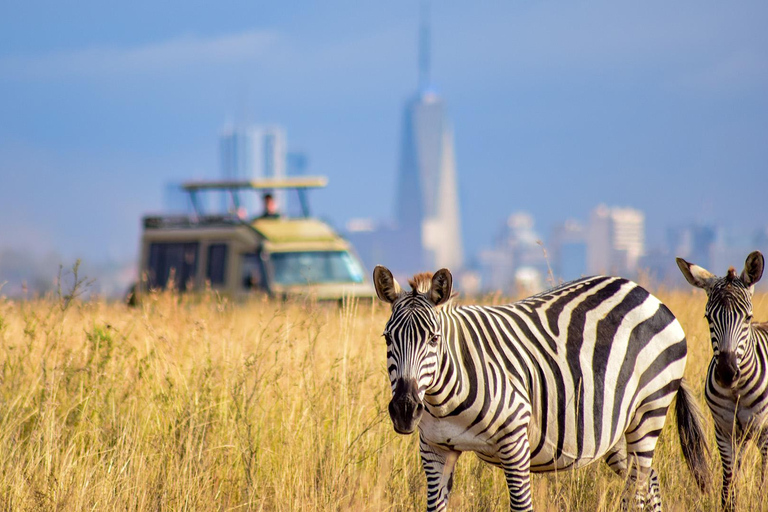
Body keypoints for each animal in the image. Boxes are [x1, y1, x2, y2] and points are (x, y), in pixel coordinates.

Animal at [372, 268, 708, 512]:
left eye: (433, 339)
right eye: (387, 338)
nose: (404, 410)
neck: (442, 400)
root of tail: (645, 292)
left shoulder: (514, 442)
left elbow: (521, 507)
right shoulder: (435, 449)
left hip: (649, 410)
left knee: (637, 489)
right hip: (615, 429)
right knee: (649, 481)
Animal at [676, 250, 764, 510]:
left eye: (747, 317)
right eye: (707, 318)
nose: (726, 372)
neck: (737, 391)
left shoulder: (765, 433)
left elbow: (762, 483)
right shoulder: (724, 431)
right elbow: (728, 487)